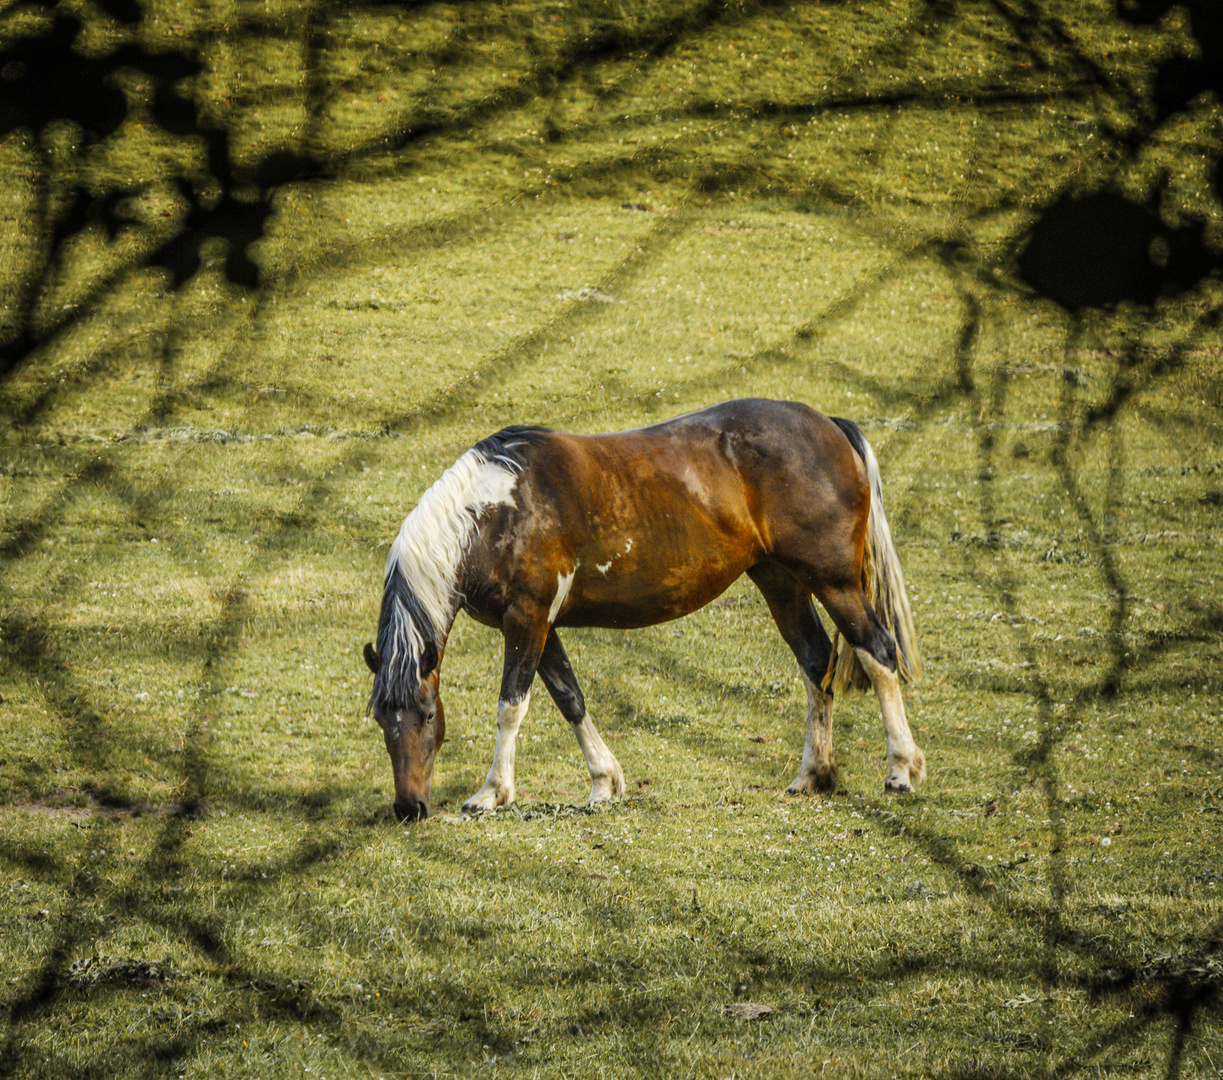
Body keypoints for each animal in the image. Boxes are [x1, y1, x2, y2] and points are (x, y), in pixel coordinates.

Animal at [359, 401, 919, 821]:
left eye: (429, 714)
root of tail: (829, 425)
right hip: (781, 582)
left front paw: (492, 792)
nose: (409, 808)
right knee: (815, 662)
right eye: (382, 719)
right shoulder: (541, 627)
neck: (493, 512)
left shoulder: (526, 620)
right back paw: (812, 776)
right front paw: (604, 782)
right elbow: (570, 698)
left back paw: (901, 771)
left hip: (834, 582)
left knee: (877, 651)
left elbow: (511, 706)